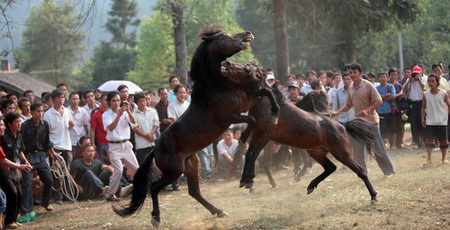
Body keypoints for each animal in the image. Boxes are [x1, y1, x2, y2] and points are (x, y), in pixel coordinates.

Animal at [112, 25, 280, 226]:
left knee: (194, 192)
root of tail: (155, 149)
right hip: (174, 171)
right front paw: (243, 141)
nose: (247, 34)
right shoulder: (229, 117)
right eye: (223, 35)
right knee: (154, 187)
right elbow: (252, 120)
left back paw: (219, 211)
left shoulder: (246, 102)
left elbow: (266, 91)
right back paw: (156, 217)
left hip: (191, 165)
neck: (217, 88)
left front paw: (275, 112)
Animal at [223, 62, 378, 202]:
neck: (268, 107)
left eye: (246, 69)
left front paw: (248, 180)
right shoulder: (257, 134)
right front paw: (246, 180)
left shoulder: (265, 135)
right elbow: (250, 154)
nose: (227, 64)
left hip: (341, 152)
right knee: (331, 167)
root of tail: (341, 125)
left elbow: (253, 154)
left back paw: (374, 196)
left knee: (360, 170)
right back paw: (310, 186)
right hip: (316, 152)